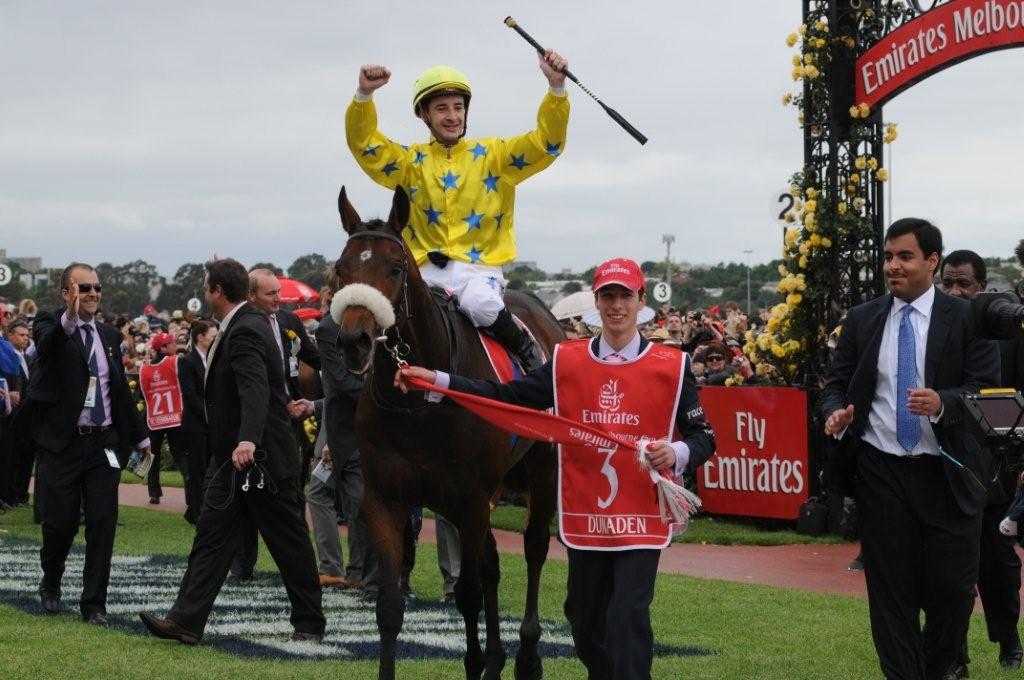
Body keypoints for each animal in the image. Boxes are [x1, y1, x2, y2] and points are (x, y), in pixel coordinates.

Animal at [329, 187, 561, 680]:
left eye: (394, 268)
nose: (354, 342)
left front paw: (480, 661)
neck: (418, 402)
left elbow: (469, 593)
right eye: (341, 268)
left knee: (533, 548)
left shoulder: (470, 499)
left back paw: (527, 656)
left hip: (542, 470)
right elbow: (390, 607)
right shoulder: (387, 498)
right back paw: (497, 657)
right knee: (492, 563)